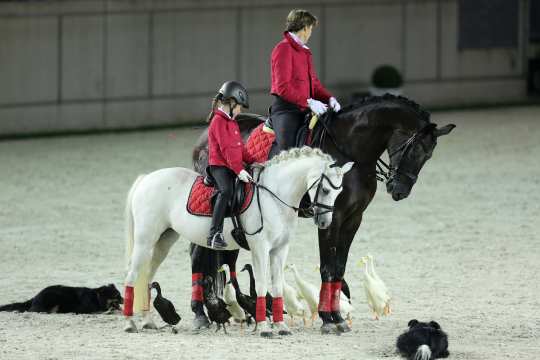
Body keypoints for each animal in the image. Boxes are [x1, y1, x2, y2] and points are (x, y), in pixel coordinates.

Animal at [121, 145, 354, 336]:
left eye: (340, 191)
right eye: (325, 189)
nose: (324, 222)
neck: (274, 197)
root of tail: (147, 178)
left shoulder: (280, 249)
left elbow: (277, 285)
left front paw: (281, 326)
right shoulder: (260, 248)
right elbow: (261, 285)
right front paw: (264, 327)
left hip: (164, 241)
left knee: (146, 276)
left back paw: (147, 321)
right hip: (145, 241)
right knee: (132, 275)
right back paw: (130, 323)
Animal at [188, 94, 454, 334]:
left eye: (428, 155)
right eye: (414, 149)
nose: (399, 190)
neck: (350, 151)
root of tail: (204, 135)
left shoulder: (353, 219)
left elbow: (339, 268)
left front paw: (337, 316)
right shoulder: (331, 218)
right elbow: (327, 266)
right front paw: (329, 318)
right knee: (198, 255)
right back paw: (201, 314)